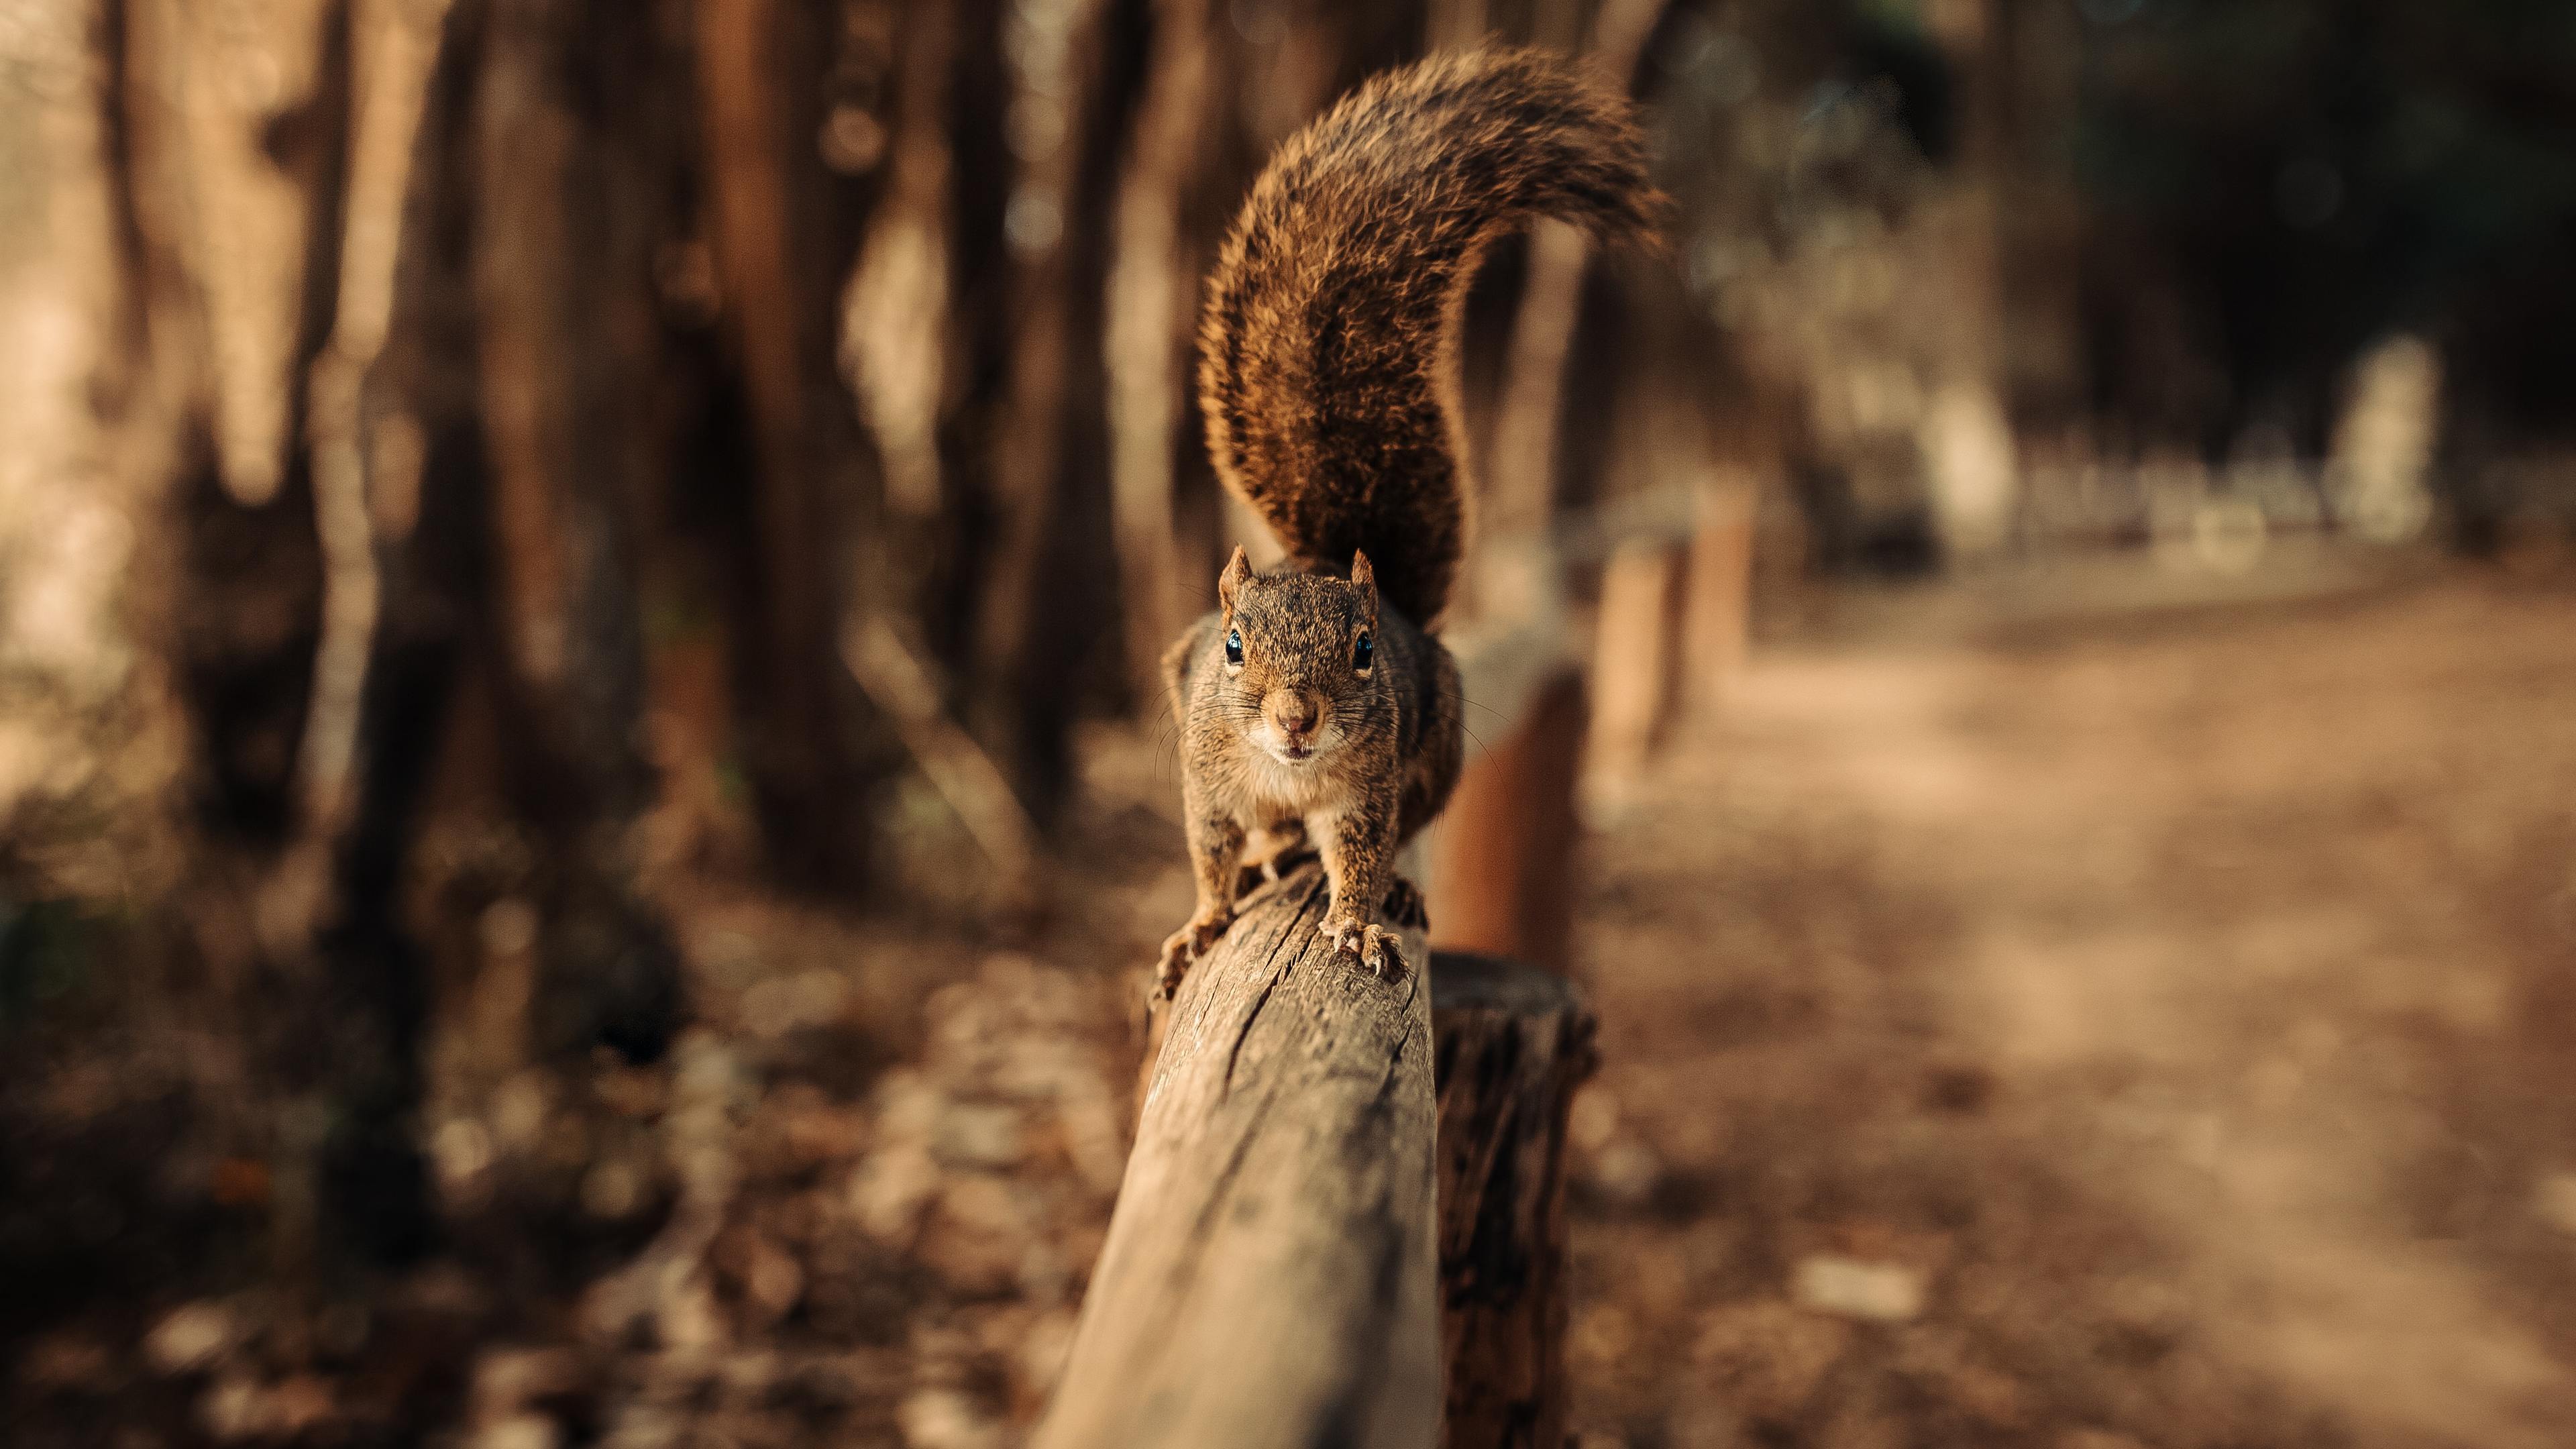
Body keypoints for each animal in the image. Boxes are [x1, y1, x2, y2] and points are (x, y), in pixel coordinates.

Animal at [1159, 45, 1658, 989]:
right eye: (1233, 648)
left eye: (1363, 651)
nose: (1296, 719)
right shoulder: (1209, 784)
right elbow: (1209, 856)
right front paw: (1200, 924)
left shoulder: (1368, 792)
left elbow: (1360, 855)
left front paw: (1358, 923)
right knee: (1266, 842)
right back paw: (1270, 856)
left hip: (1439, 746)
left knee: (1400, 833)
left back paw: (1387, 886)